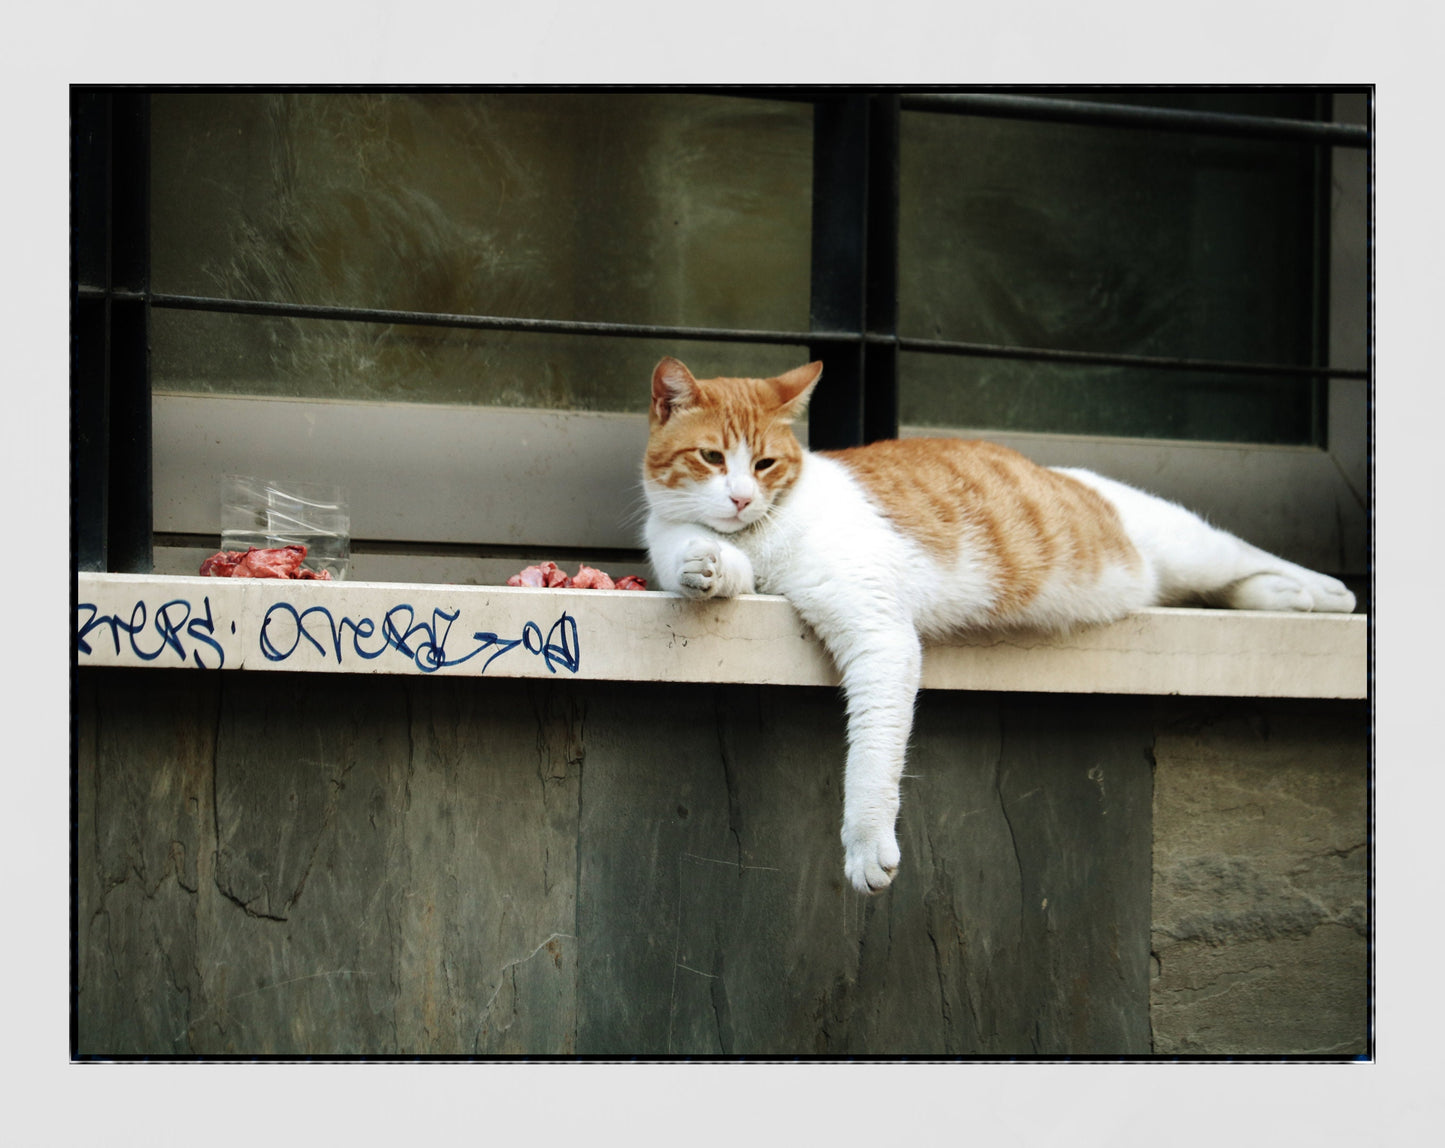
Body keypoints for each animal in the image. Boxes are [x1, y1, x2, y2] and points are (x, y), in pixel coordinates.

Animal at [644, 352, 1352, 890]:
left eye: (764, 464)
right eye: (712, 457)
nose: (741, 499)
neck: (762, 537)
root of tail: (1053, 468)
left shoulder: (879, 633)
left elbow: (872, 752)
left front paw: (866, 842)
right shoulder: (689, 541)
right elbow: (695, 557)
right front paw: (706, 568)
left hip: (1181, 542)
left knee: (1246, 555)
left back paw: (1322, 592)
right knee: (1231, 583)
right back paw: (1284, 597)